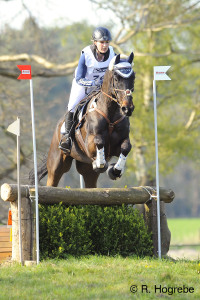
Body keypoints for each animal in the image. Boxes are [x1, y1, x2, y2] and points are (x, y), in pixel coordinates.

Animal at [34, 51, 135, 188]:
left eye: (133, 77)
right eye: (116, 78)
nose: (127, 108)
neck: (110, 113)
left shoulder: (120, 142)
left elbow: (126, 147)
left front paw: (115, 169)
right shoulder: (90, 143)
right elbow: (99, 141)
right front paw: (100, 163)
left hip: (87, 170)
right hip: (57, 164)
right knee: (52, 180)